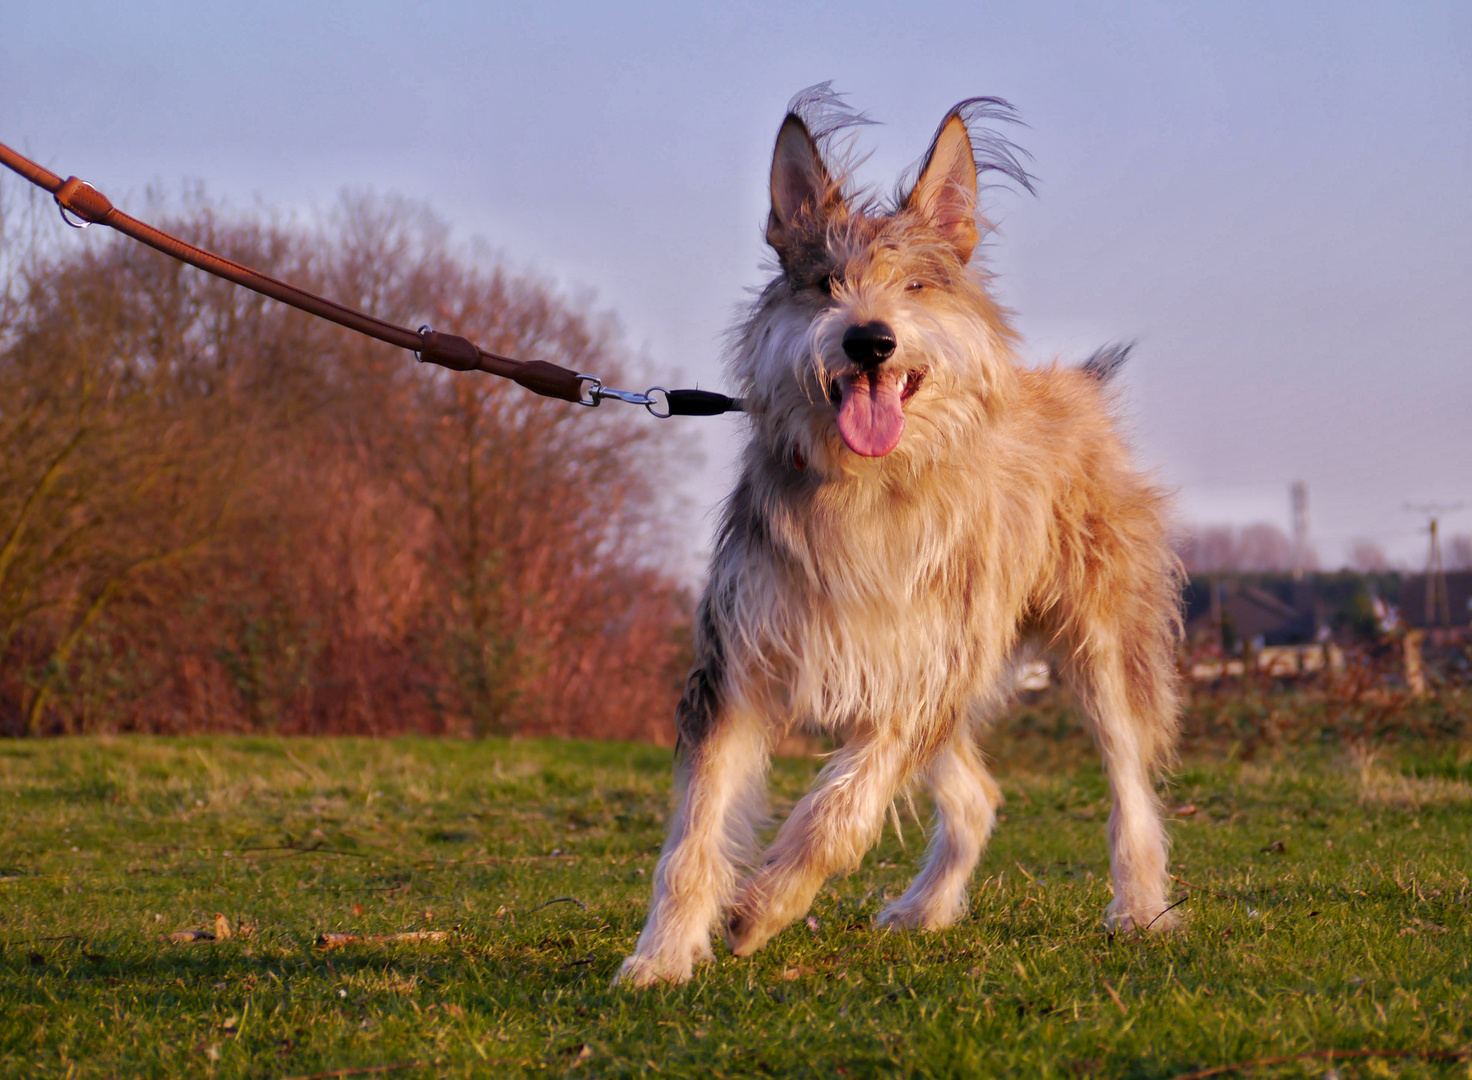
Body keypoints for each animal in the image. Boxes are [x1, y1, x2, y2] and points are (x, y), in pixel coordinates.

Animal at [615, 90, 1177, 988]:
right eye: (824, 284)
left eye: (915, 284)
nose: (869, 339)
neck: (867, 489)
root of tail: (1075, 389)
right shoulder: (741, 663)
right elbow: (695, 832)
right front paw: (662, 955)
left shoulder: (919, 678)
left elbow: (843, 808)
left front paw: (765, 904)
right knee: (978, 796)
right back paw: (927, 908)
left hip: (1094, 641)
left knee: (1130, 784)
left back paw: (1141, 907)